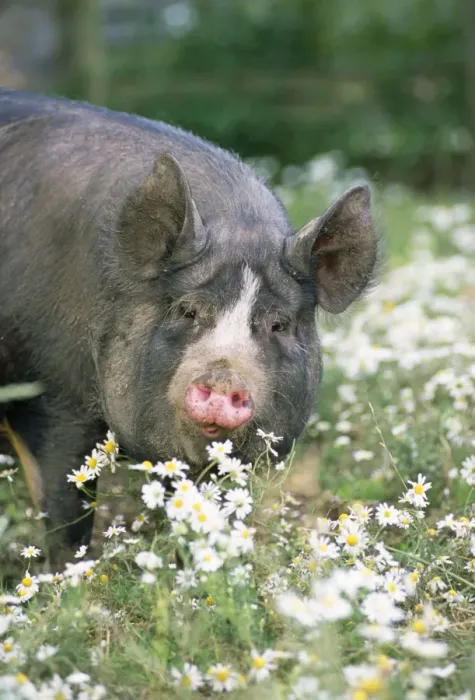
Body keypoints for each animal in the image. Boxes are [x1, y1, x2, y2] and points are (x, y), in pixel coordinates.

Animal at [0, 88, 379, 562]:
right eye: (186, 311)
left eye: (279, 324)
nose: (223, 377)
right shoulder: (50, 397)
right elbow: (64, 515)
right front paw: (68, 579)